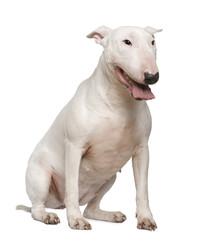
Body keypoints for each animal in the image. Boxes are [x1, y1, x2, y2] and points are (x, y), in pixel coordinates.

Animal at [16, 25, 161, 230]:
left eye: (153, 42)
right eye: (127, 42)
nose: (152, 77)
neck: (119, 102)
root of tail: (57, 204)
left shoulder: (142, 150)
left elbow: (142, 190)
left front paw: (145, 218)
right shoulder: (74, 146)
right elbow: (71, 189)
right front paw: (75, 220)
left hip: (109, 178)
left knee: (91, 209)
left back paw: (111, 215)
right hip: (40, 175)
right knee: (37, 207)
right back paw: (48, 215)